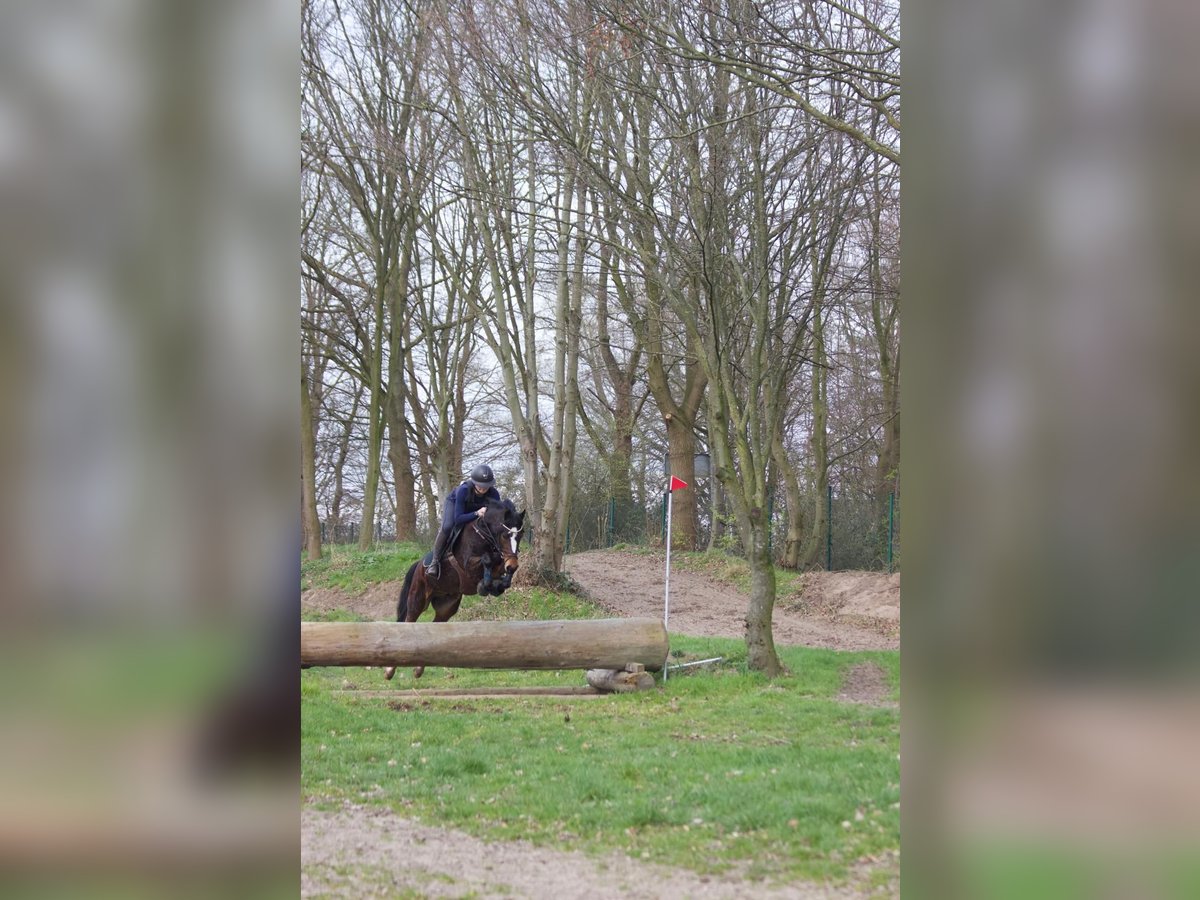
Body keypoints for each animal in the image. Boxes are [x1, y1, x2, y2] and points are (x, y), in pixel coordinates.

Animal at [379, 496, 520, 681]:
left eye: (521, 535)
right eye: (505, 535)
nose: (513, 564)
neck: (484, 534)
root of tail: (418, 565)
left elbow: (500, 570)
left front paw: (495, 585)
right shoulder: (469, 564)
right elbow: (488, 559)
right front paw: (485, 585)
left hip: (447, 605)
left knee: (436, 625)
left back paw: (418, 668)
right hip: (417, 598)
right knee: (409, 620)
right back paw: (390, 670)